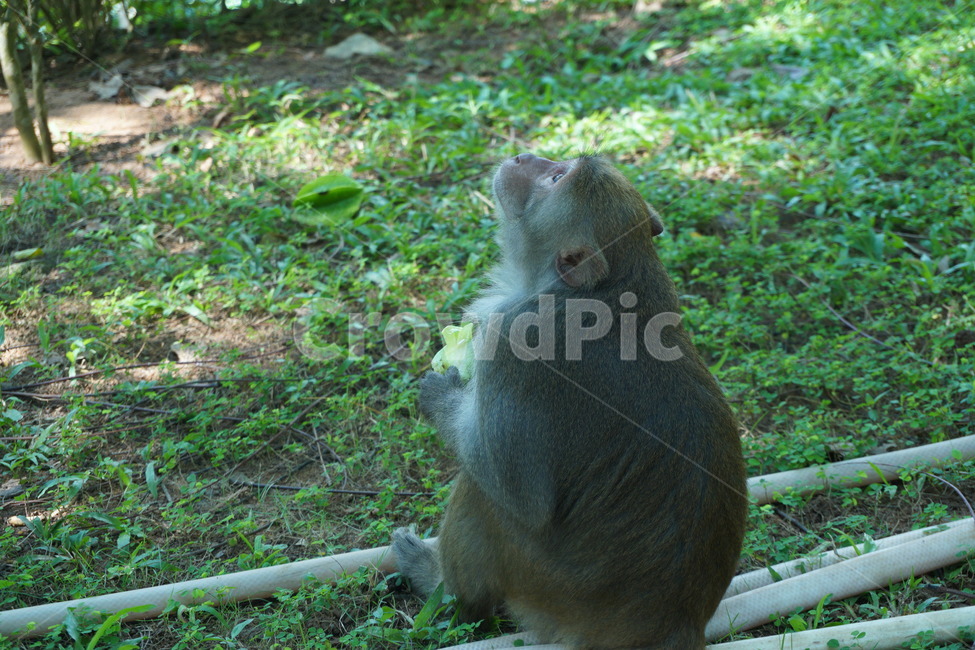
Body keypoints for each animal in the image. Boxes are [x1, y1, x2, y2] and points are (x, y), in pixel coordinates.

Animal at [392, 153, 747, 649]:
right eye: (563, 162)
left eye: (556, 177)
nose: (524, 157)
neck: (608, 283)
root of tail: (674, 622)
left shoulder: (515, 341)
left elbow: (520, 495)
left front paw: (441, 394)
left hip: (547, 587)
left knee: (485, 496)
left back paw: (439, 587)